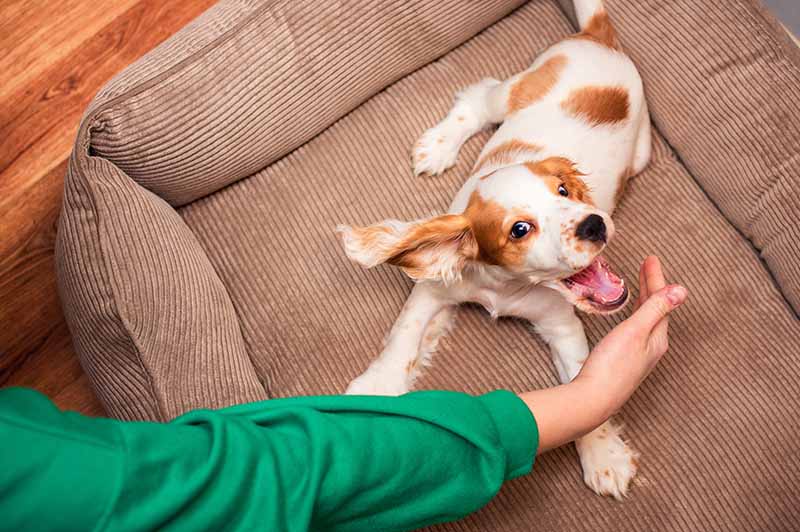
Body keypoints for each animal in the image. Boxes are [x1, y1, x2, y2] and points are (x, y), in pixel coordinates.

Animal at [338, 0, 648, 498]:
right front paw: (377, 389)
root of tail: (597, 37)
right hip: (513, 92)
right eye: (520, 229)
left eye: (565, 191)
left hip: (639, 155)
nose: (595, 223)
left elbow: (586, 386)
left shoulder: (561, 325)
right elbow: (405, 337)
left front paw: (603, 455)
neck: (507, 288)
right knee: (477, 98)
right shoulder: (435, 289)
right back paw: (438, 146)